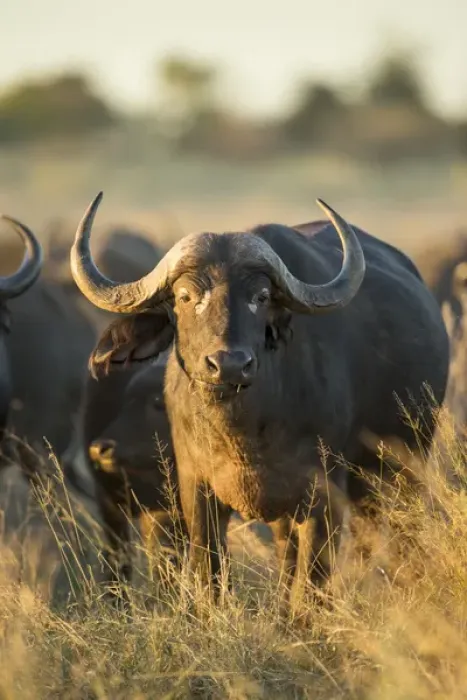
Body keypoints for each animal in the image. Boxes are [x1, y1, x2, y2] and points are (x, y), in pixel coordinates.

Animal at [70, 193, 450, 607]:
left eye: (261, 296)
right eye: (185, 296)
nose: (229, 364)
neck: (244, 432)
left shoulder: (323, 495)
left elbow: (311, 586)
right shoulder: (195, 491)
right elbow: (209, 578)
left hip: (398, 472)